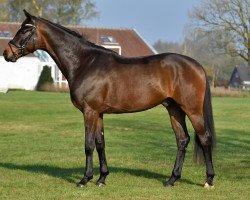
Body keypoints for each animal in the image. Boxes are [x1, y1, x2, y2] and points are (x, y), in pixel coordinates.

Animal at [2, 10, 215, 189]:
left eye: (25, 29)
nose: (6, 53)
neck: (84, 62)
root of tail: (197, 65)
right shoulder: (98, 113)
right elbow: (100, 143)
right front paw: (102, 178)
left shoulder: (89, 111)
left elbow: (88, 145)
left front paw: (85, 179)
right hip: (174, 109)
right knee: (182, 140)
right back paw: (172, 179)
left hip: (192, 110)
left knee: (204, 138)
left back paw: (208, 180)